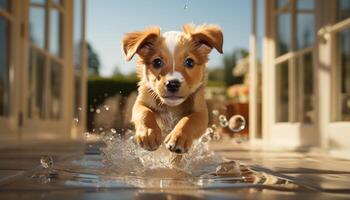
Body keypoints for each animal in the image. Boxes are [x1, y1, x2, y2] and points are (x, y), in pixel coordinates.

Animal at [121, 24, 223, 154]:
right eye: (157, 62)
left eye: (189, 62)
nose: (173, 84)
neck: (172, 107)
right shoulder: (141, 102)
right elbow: (145, 113)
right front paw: (149, 134)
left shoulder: (201, 113)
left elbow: (188, 120)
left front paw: (178, 137)